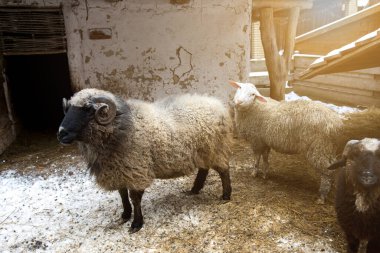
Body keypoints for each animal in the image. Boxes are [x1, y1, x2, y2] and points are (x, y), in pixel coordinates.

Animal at [58, 88, 233, 233]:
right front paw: (125, 215)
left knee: (224, 170)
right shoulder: (119, 170)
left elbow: (135, 198)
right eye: (68, 109)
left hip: (215, 148)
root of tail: (218, 105)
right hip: (204, 151)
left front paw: (136, 223)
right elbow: (122, 195)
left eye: (88, 109)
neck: (121, 128)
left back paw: (225, 195)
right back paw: (194, 189)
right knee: (204, 168)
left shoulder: (136, 170)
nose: (61, 133)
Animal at [229, 81, 380, 204]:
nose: (239, 102)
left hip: (318, 147)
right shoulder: (264, 141)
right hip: (327, 147)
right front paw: (266, 173)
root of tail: (336, 123)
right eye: (240, 88)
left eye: (253, 94)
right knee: (332, 167)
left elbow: (256, 158)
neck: (254, 107)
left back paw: (322, 196)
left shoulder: (256, 140)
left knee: (327, 171)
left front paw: (254, 173)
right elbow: (265, 157)